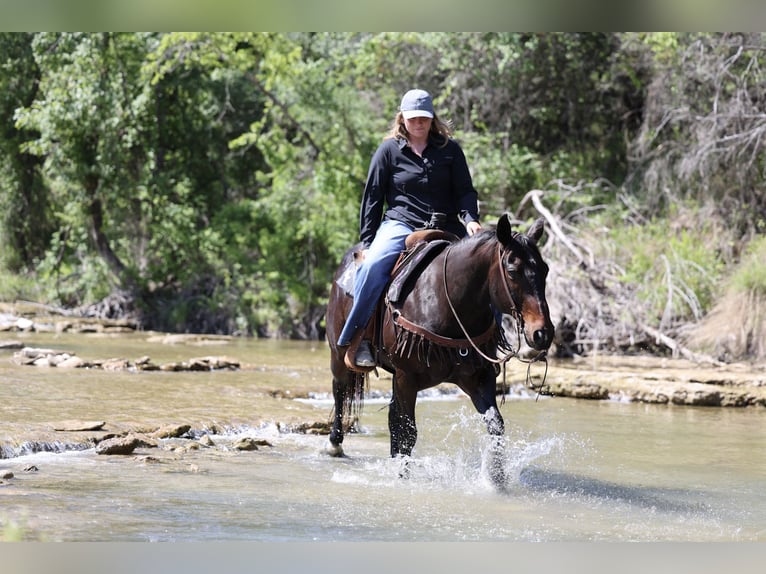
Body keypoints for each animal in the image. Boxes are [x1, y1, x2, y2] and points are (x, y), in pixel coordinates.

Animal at [324, 213, 554, 488]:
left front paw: (496, 479)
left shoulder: (477, 377)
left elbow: (495, 425)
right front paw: (401, 477)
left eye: (545, 269)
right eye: (512, 271)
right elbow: (407, 431)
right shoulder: (407, 377)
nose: (542, 333)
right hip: (339, 355)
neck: (448, 303)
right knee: (340, 391)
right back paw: (334, 444)